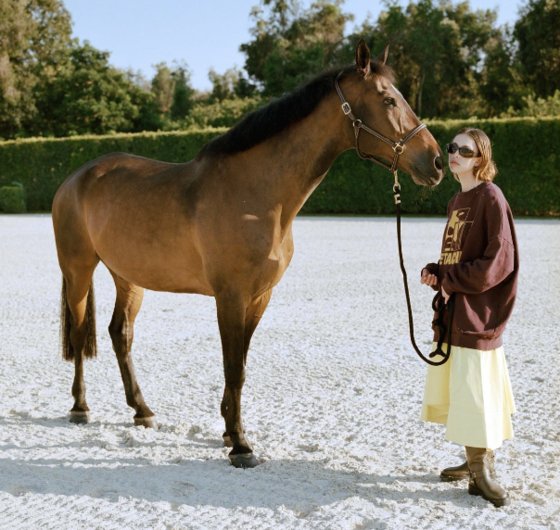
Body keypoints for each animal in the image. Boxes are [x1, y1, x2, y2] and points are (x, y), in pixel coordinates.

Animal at [51, 41, 442, 464]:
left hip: (128, 276)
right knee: (79, 332)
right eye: (388, 99)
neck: (256, 194)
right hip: (78, 270)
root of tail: (75, 179)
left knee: (120, 333)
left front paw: (227, 430)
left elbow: (240, 363)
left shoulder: (259, 297)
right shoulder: (230, 296)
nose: (437, 161)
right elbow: (232, 366)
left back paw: (142, 410)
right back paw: (80, 407)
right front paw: (241, 444)